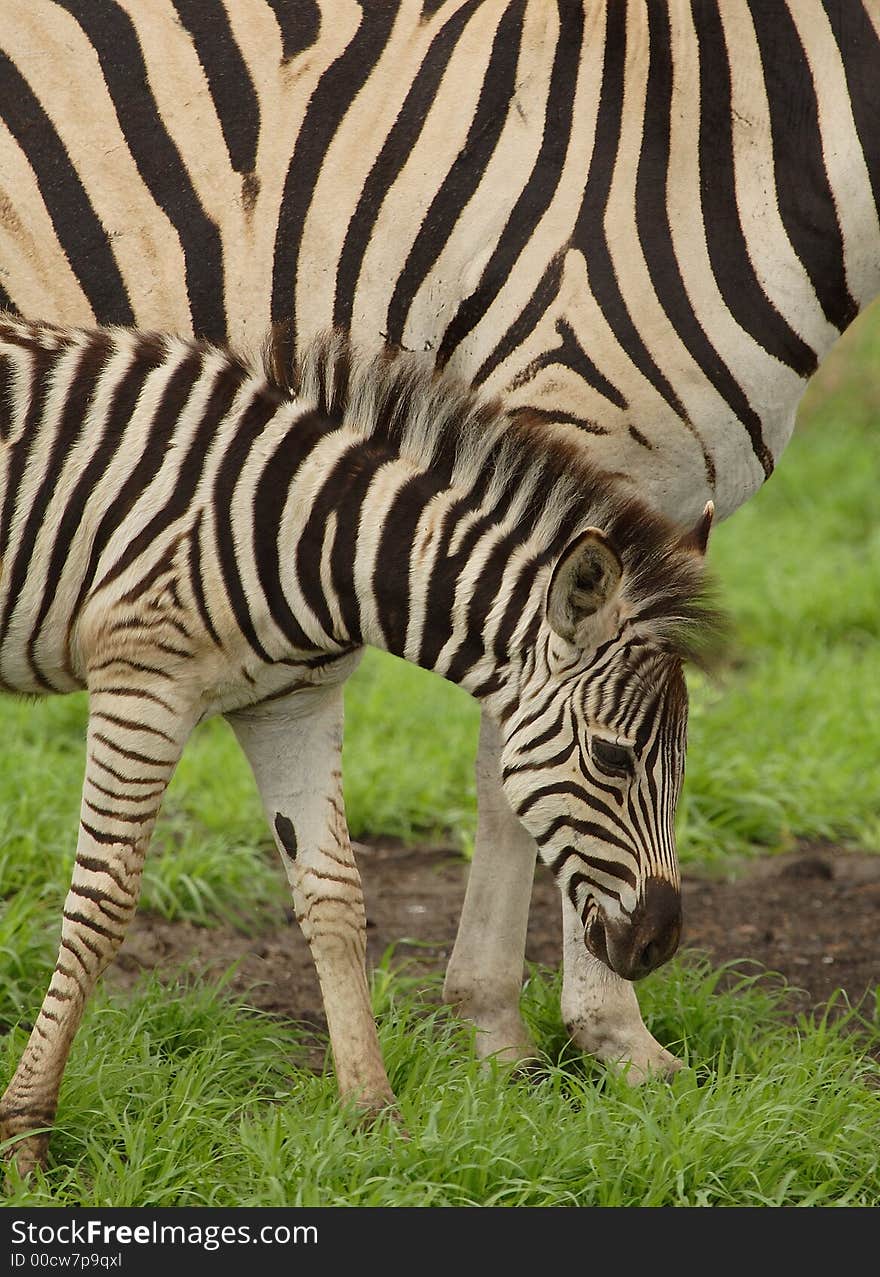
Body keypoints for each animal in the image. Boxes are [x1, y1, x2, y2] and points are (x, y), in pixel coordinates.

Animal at [0, 314, 720, 1169]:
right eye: (612, 756)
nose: (660, 944)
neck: (299, 526)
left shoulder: (289, 703)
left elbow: (336, 896)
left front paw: (375, 1115)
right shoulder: (143, 679)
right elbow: (103, 901)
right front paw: (26, 1135)